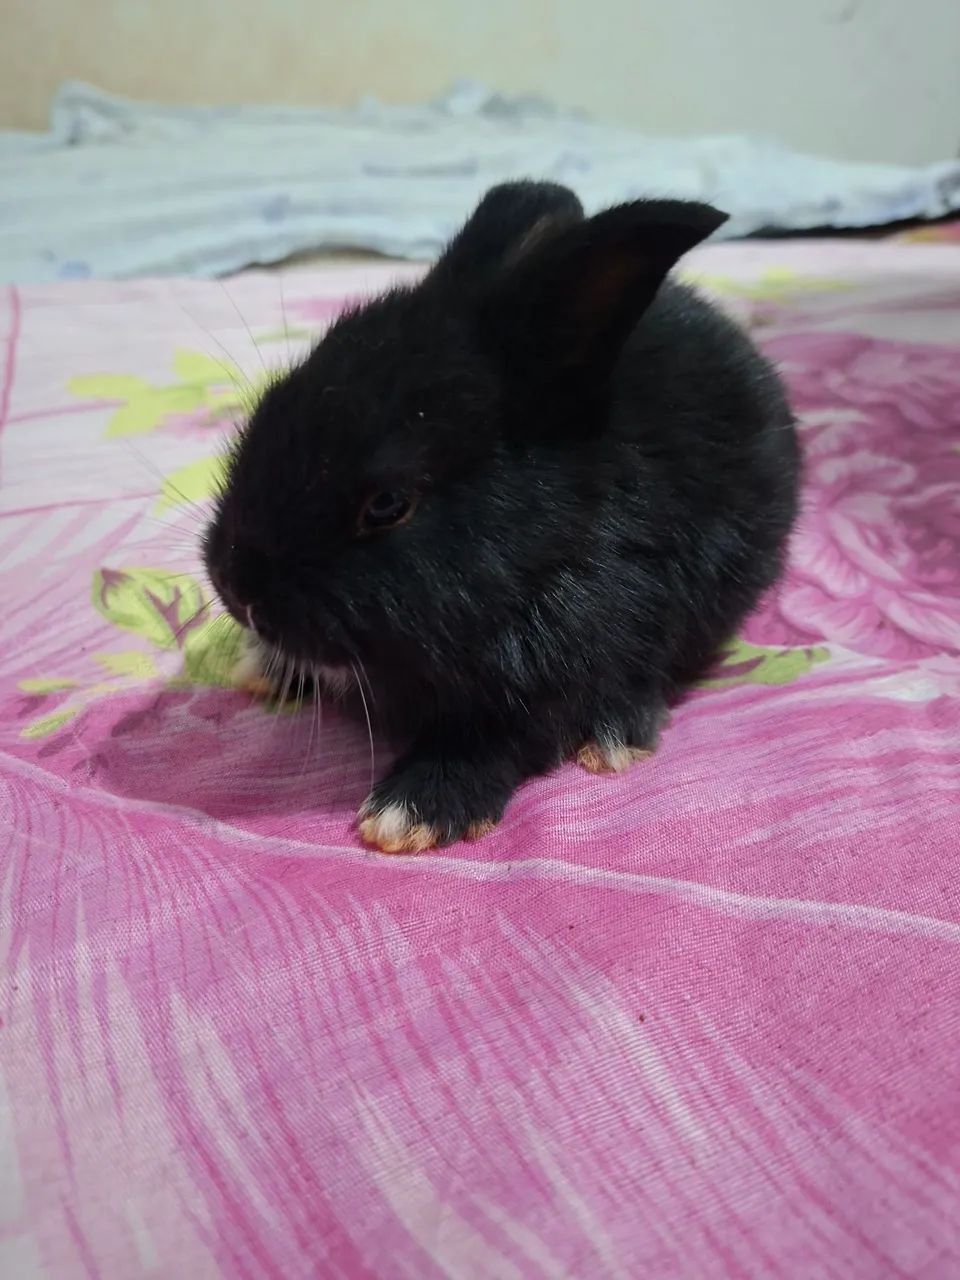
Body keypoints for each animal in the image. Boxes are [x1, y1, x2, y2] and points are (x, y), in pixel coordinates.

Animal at [203, 180, 799, 853]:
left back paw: (616, 736)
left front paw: (410, 813)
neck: (544, 546)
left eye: (388, 505)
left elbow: (498, 741)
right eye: (270, 403)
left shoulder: (552, 683)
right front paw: (264, 666)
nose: (233, 587)